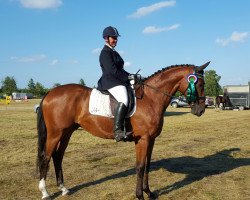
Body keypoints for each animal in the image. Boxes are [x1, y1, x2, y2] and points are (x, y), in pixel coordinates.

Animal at [36, 61, 209, 199]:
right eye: (200, 84)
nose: (200, 110)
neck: (151, 98)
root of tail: (50, 92)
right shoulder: (142, 140)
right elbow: (140, 166)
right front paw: (140, 195)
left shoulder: (151, 139)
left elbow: (147, 165)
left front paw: (149, 192)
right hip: (55, 133)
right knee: (46, 157)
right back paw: (45, 192)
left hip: (67, 132)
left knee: (58, 157)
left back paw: (64, 189)